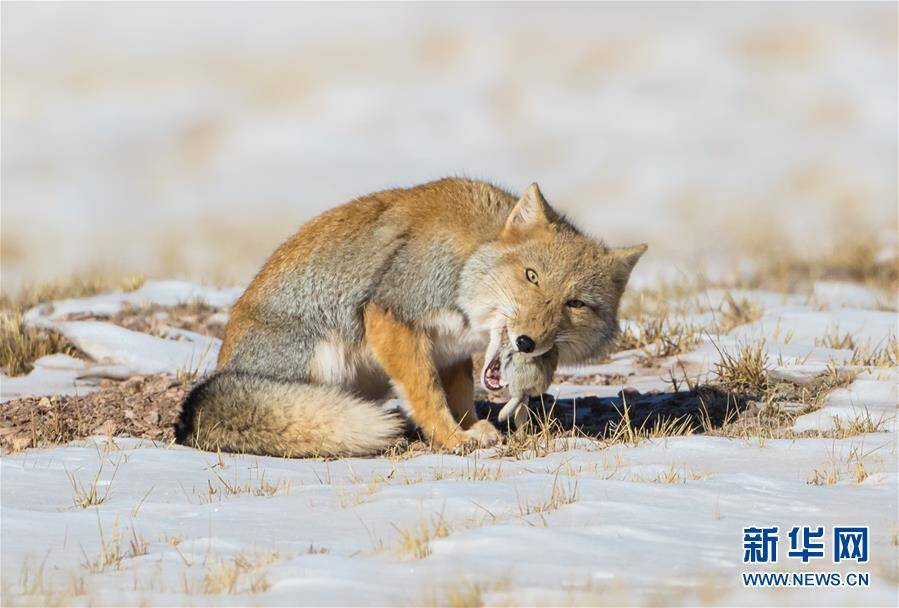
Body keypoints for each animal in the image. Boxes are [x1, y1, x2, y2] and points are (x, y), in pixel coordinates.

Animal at [172, 178, 644, 458]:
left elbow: (459, 396)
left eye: (575, 303)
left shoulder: (450, 349)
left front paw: (470, 428)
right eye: (532, 277)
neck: (467, 259)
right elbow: (427, 394)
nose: (528, 342)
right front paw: (452, 438)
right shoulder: (393, 314)